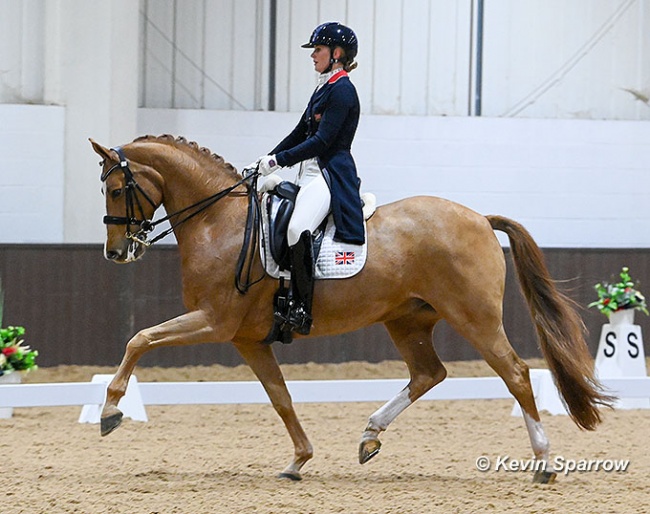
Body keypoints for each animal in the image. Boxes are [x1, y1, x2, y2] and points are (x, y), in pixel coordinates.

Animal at [90, 135, 608, 480]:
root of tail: (480, 217)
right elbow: (280, 397)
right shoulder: (246, 339)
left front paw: (110, 410)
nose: (115, 253)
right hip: (407, 319)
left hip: (474, 318)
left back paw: (543, 462)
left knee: (516, 374)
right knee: (429, 373)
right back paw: (369, 435)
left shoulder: (215, 323)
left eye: (115, 190)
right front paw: (298, 460)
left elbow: (140, 338)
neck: (220, 221)